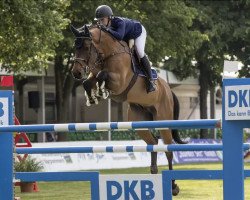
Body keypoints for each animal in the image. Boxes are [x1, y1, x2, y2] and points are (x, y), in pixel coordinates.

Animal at [70, 24, 186, 195]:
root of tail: (168, 89)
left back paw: (173, 186)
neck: (107, 53)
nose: (76, 72)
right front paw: (93, 97)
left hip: (163, 119)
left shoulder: (119, 82)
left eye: (85, 47)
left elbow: (103, 75)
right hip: (140, 122)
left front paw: (101, 91)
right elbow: (88, 81)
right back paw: (154, 172)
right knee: (153, 142)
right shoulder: (94, 73)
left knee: (168, 149)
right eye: (74, 47)